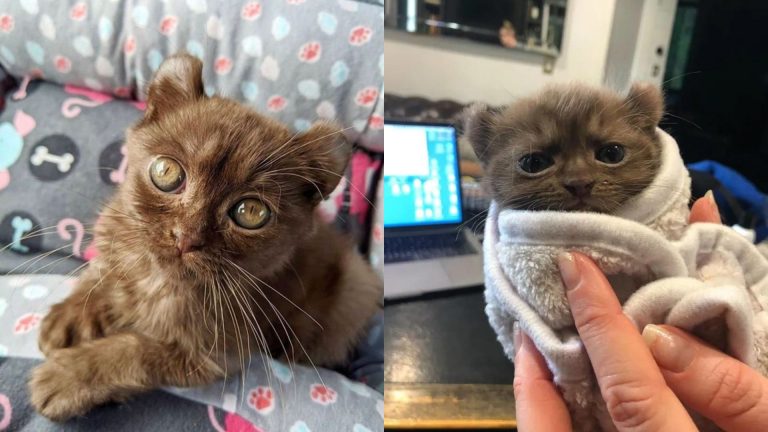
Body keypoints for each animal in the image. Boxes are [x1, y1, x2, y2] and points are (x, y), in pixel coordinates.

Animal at [30, 52, 384, 420]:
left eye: (251, 212)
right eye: (166, 172)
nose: (186, 236)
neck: (157, 279)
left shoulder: (213, 355)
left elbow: (136, 352)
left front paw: (67, 377)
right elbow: (101, 272)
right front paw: (70, 316)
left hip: (355, 290)